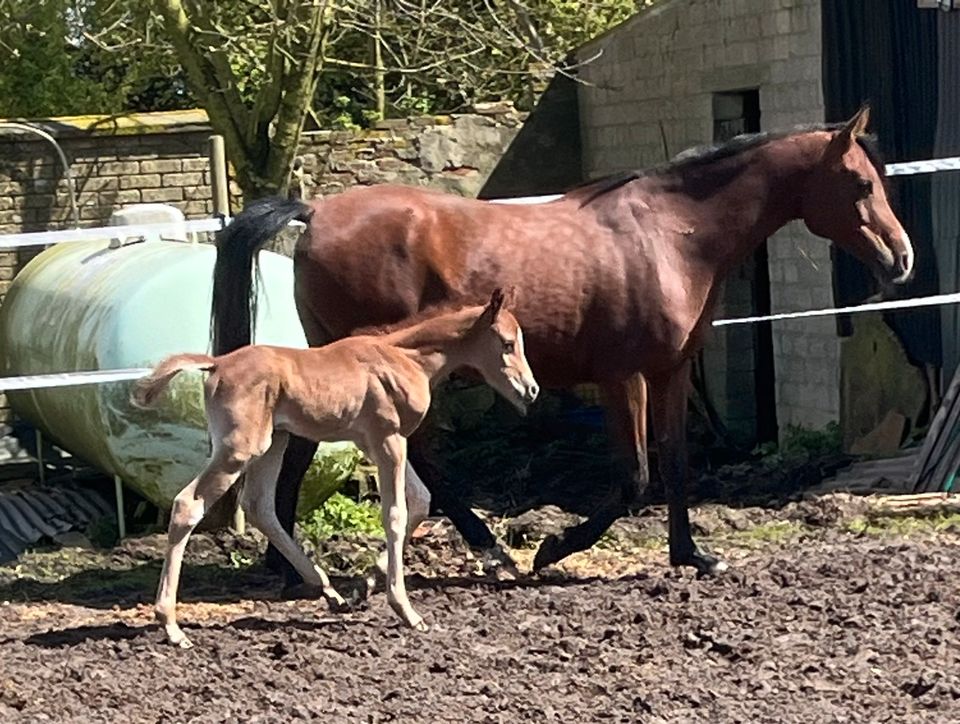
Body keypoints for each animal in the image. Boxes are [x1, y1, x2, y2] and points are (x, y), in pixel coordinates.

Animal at [133, 290, 540, 652]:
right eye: (507, 343)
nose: (532, 390)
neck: (403, 358)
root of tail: (216, 363)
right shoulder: (388, 440)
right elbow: (395, 514)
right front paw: (405, 610)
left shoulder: (376, 442)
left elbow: (421, 501)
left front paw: (365, 586)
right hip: (240, 448)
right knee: (188, 504)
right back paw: (171, 626)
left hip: (273, 442)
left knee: (259, 505)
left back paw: (329, 592)